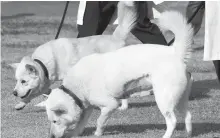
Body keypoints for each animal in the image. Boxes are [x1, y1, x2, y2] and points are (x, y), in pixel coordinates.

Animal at [9, 1, 138, 110]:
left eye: (23, 81)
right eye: (17, 80)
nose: (14, 93)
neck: (44, 63)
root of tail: (116, 38)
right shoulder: (46, 81)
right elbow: (36, 92)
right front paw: (22, 104)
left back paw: (123, 106)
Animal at [37, 11, 193, 138]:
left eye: (55, 121)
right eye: (50, 121)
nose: (51, 136)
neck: (74, 88)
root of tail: (175, 52)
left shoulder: (111, 105)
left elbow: (100, 121)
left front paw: (98, 133)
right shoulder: (87, 108)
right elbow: (80, 124)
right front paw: (75, 133)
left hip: (163, 99)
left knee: (172, 121)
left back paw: (166, 135)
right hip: (179, 99)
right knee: (188, 115)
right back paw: (189, 133)